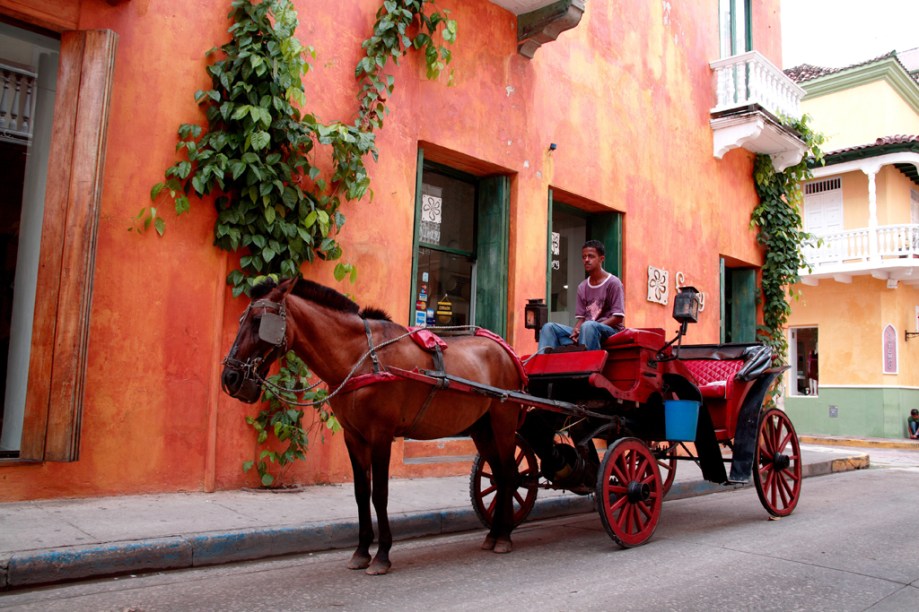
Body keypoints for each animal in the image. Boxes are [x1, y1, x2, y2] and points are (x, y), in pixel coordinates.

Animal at [221, 278, 524, 572]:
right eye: (241, 320)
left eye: (258, 321)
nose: (229, 377)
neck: (361, 359)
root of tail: (506, 351)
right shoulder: (353, 437)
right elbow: (361, 493)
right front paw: (361, 551)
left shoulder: (381, 434)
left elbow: (379, 494)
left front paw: (382, 555)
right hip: (481, 428)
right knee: (498, 475)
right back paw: (495, 534)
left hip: (503, 422)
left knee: (510, 473)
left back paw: (504, 537)